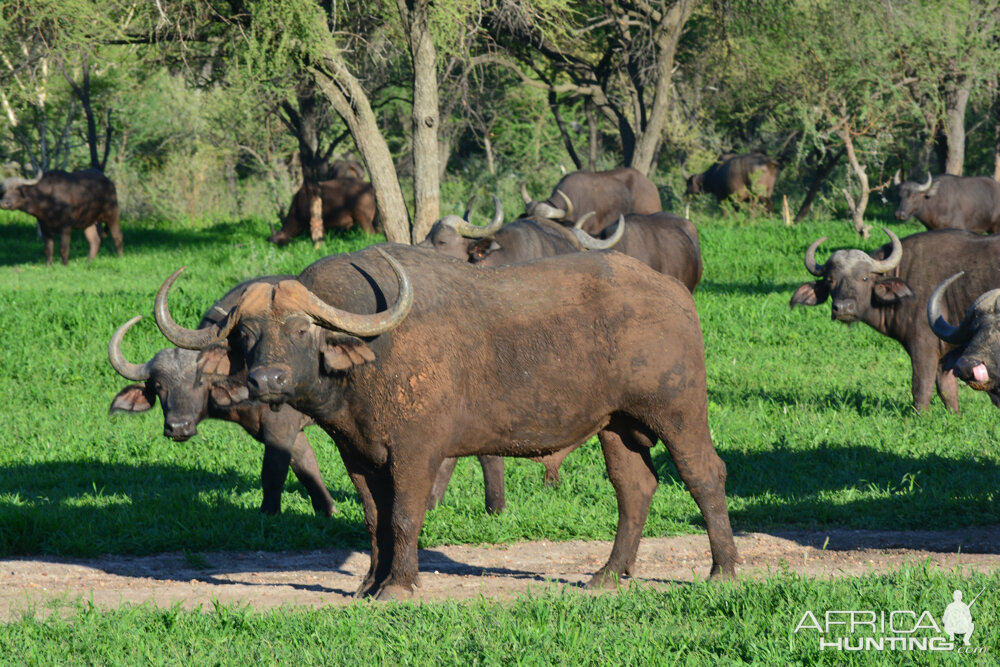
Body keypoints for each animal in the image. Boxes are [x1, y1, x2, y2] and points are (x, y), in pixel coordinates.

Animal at [152, 245, 740, 600]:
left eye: (301, 329)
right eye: (246, 334)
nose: (268, 380)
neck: (373, 356)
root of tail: (674, 293)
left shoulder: (417, 453)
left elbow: (405, 516)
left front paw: (399, 586)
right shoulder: (357, 454)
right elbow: (374, 519)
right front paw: (368, 584)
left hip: (679, 413)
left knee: (704, 475)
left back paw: (723, 571)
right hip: (616, 425)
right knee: (634, 487)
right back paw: (607, 575)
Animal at [788, 230, 1000, 412]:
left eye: (864, 278)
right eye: (830, 280)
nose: (843, 308)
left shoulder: (923, 348)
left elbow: (921, 388)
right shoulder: (946, 358)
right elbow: (948, 392)